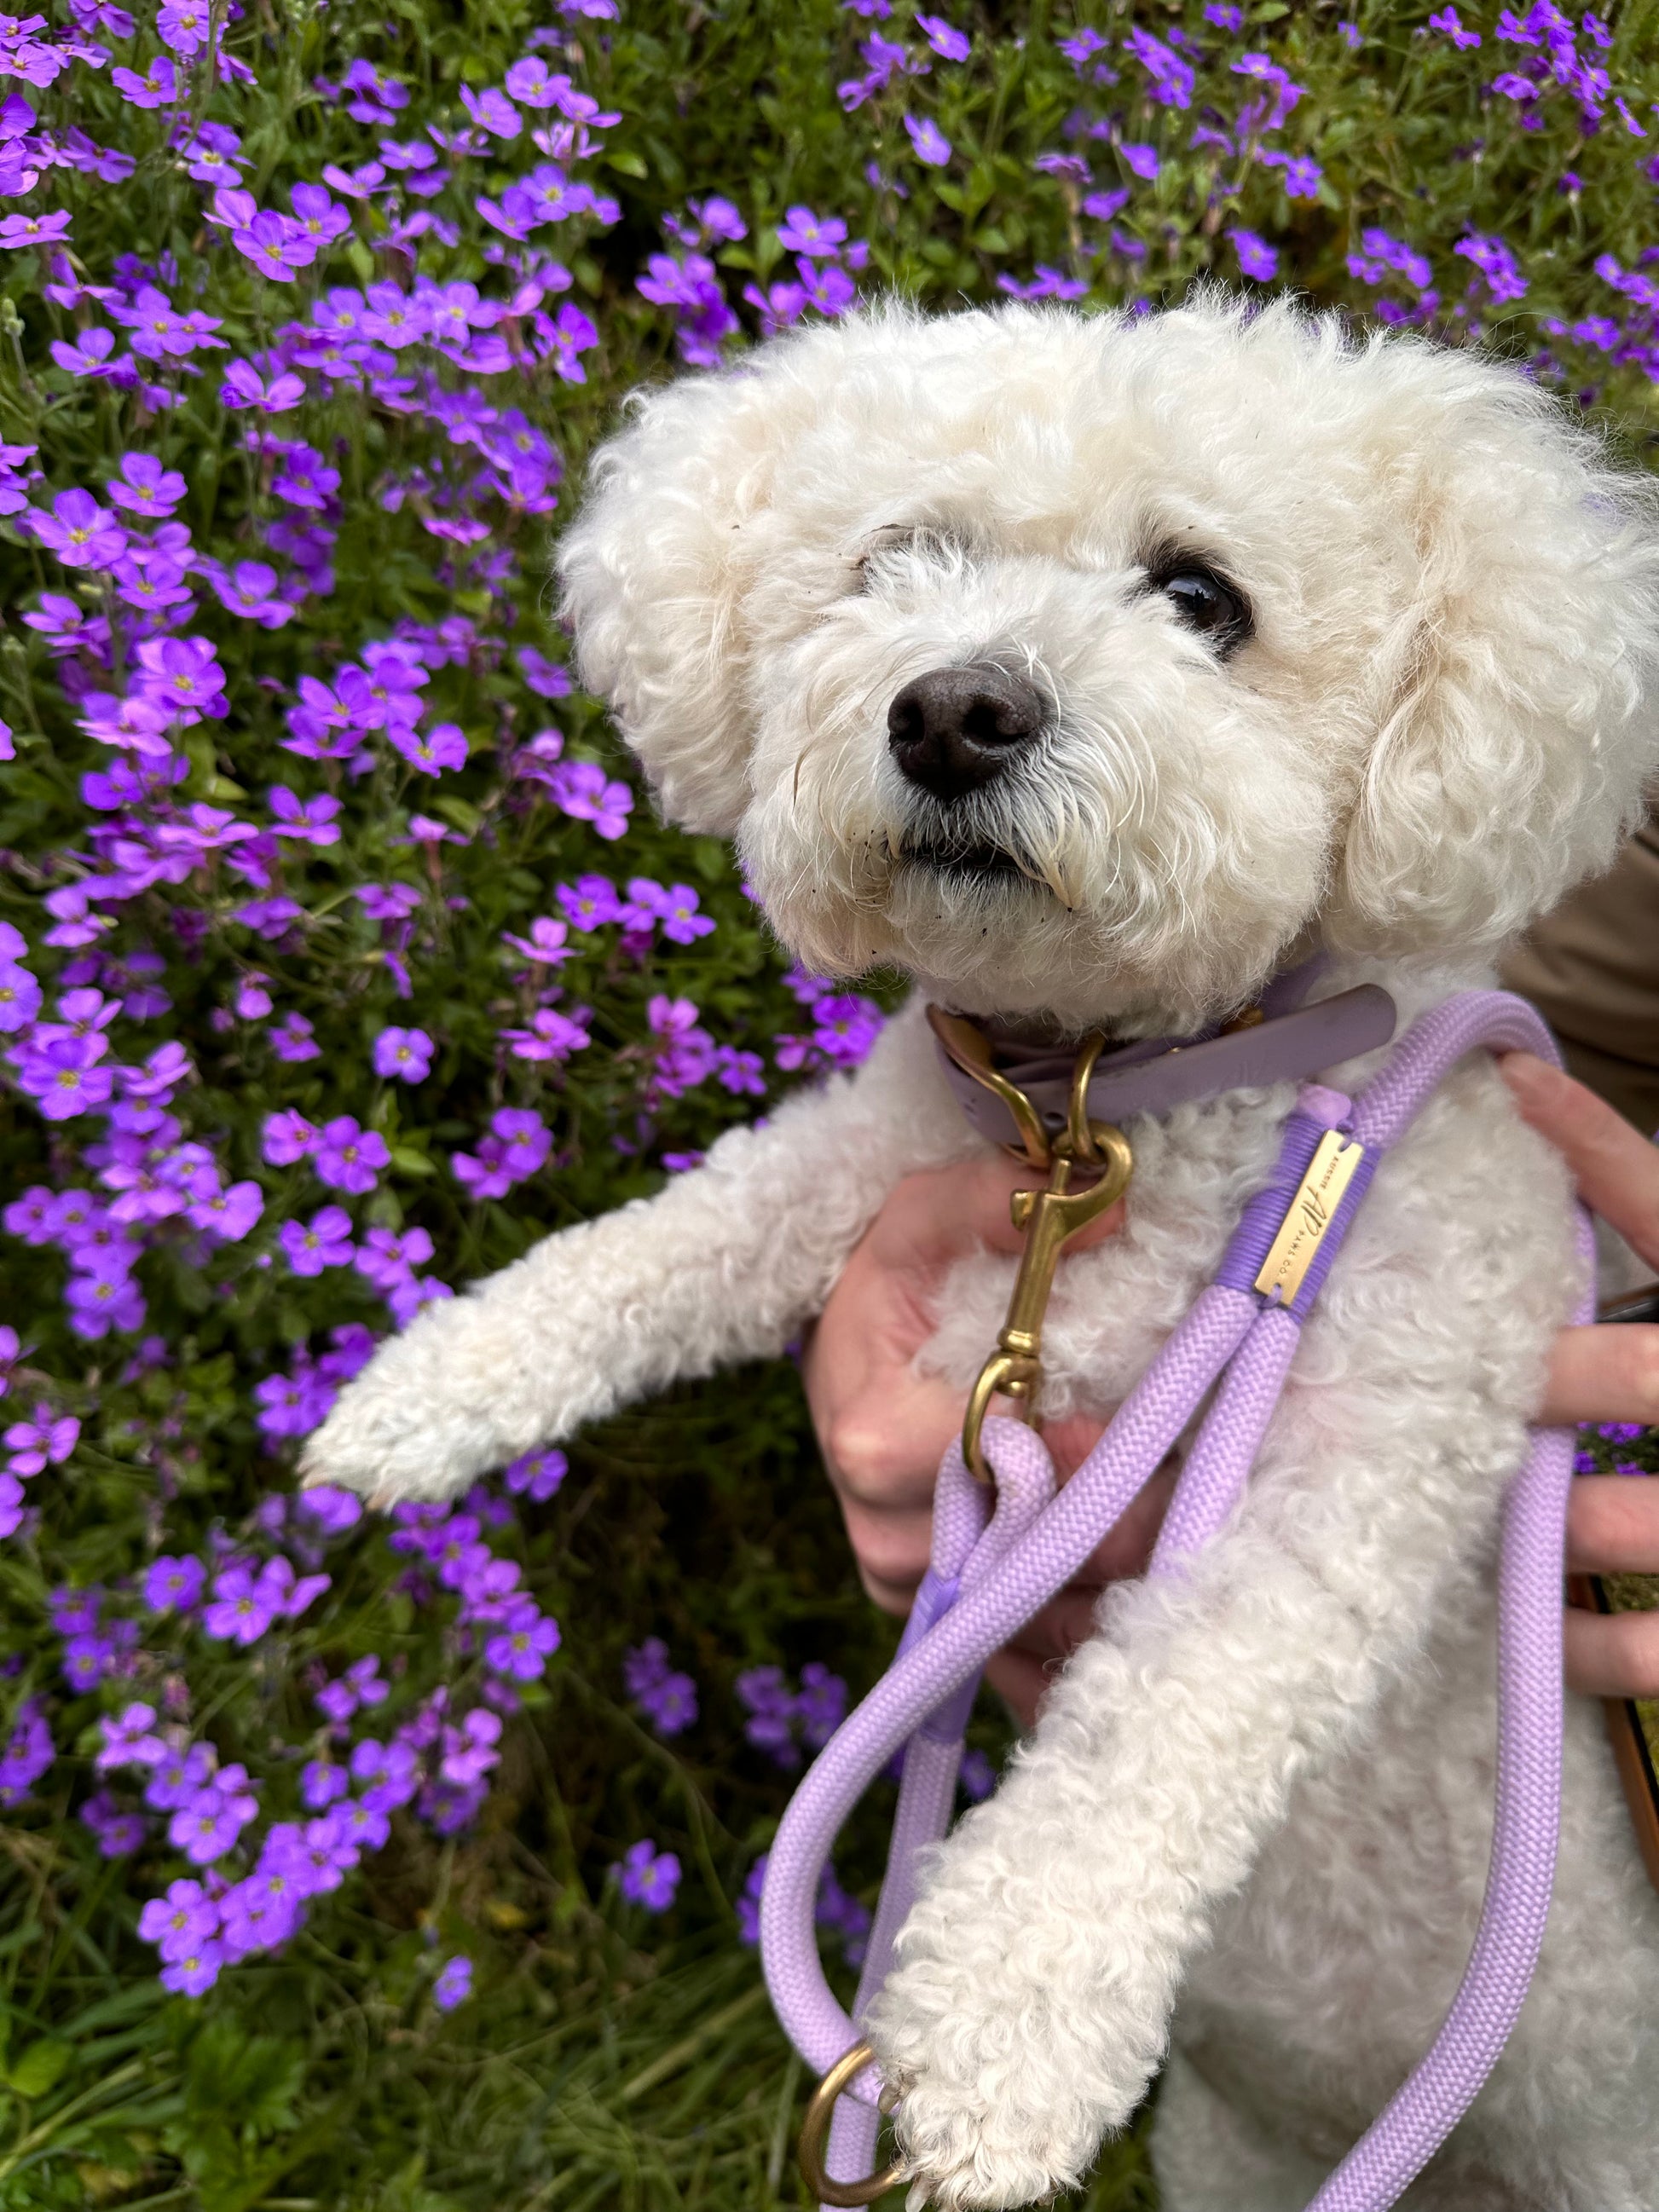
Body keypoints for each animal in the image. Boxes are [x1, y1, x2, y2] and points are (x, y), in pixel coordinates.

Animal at [305, 298, 1659, 2212]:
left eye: (1201, 596)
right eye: (896, 560)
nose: (954, 709)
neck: (1102, 1114)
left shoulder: (1382, 1436)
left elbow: (1187, 1695)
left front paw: (1007, 2028)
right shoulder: (868, 1163)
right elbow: (684, 1230)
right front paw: (427, 1388)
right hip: (1233, 2155)